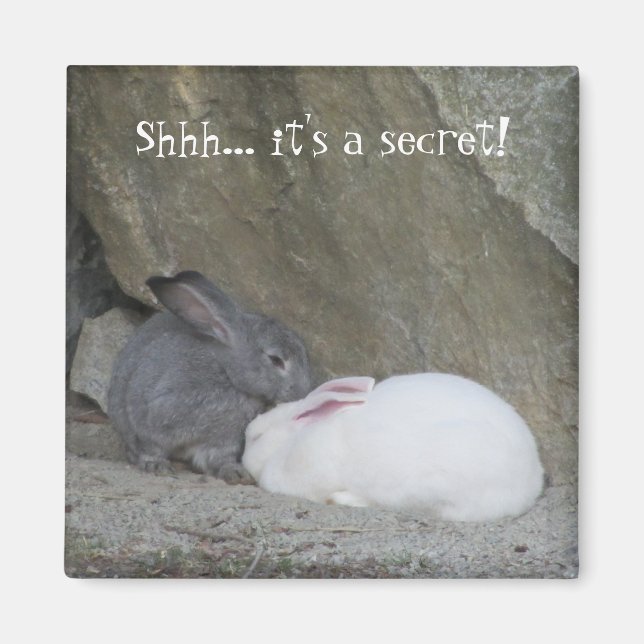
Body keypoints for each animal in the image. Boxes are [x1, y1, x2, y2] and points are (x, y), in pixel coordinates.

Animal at [107, 270, 311, 483]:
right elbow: (151, 447)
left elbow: (219, 459)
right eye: (276, 360)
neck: (227, 373)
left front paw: (236, 473)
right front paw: (156, 465)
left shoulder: (223, 441)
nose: (302, 392)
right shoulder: (154, 414)